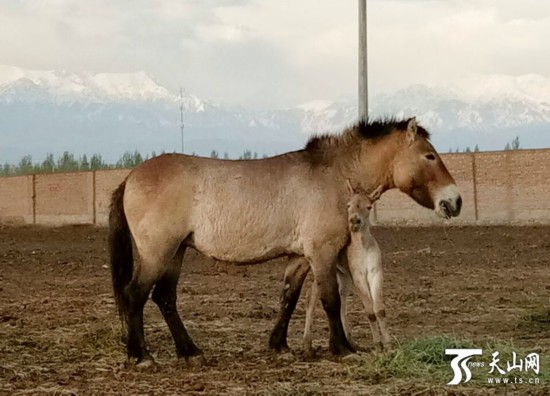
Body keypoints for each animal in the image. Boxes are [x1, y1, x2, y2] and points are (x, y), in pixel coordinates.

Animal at [304, 183, 390, 352]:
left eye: (369, 206)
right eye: (349, 205)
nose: (354, 221)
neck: (364, 249)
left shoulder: (375, 273)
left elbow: (379, 309)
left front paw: (389, 343)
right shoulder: (358, 276)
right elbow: (370, 311)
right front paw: (378, 345)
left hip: (343, 276)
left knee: (342, 302)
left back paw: (351, 342)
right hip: (324, 273)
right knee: (311, 298)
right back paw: (307, 344)